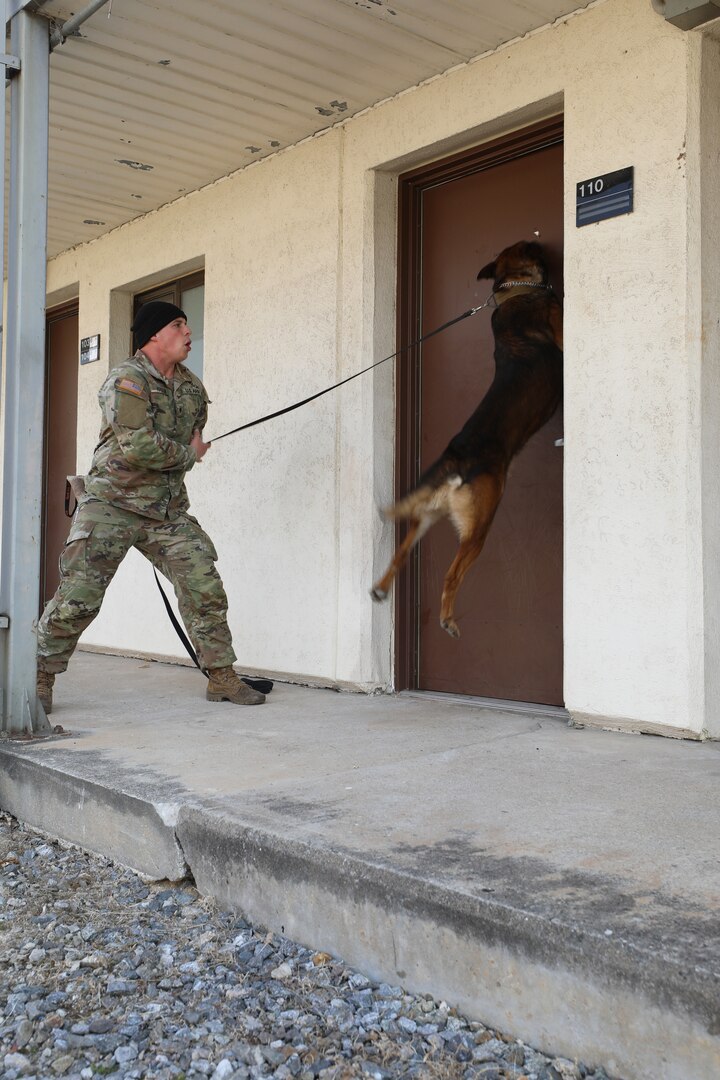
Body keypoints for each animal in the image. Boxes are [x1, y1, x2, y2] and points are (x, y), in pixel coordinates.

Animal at [371, 240, 561, 635]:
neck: (515, 291)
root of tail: (455, 459)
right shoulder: (560, 324)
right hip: (480, 526)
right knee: (451, 574)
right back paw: (446, 618)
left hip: (426, 518)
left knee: (400, 554)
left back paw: (380, 588)